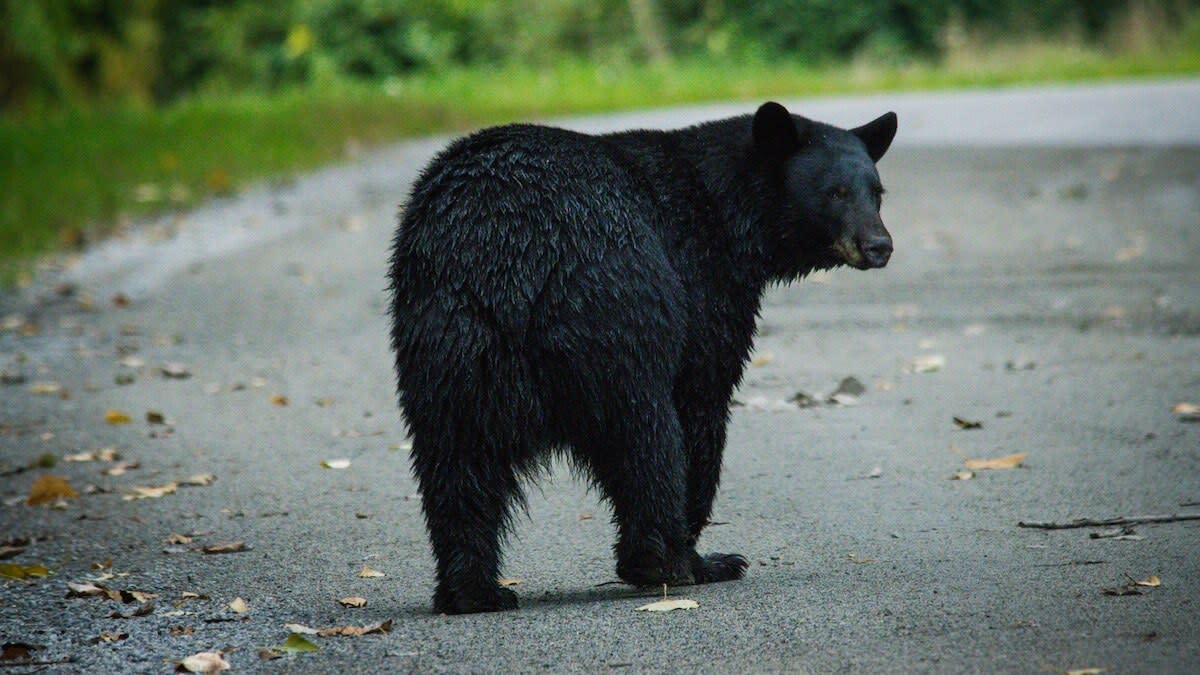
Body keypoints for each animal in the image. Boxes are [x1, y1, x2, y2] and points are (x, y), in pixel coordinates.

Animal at [388, 99, 897, 610]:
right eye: (834, 192)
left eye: (876, 192)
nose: (879, 245)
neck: (726, 210)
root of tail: (507, 254)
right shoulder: (703, 282)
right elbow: (703, 397)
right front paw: (707, 558)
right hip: (616, 313)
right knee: (646, 436)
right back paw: (667, 561)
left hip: (450, 339)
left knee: (456, 463)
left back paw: (472, 590)